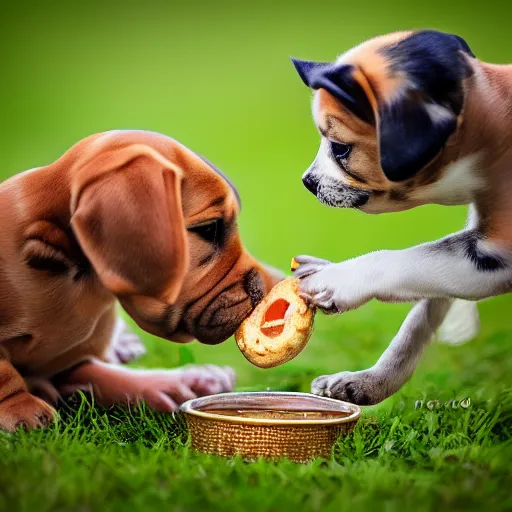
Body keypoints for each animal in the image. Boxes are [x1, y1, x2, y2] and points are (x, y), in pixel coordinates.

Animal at [0, 130, 280, 430]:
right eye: (209, 229)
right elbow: (5, 372)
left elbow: (94, 370)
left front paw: (174, 384)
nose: (269, 286)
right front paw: (21, 406)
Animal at [292, 30, 512, 406]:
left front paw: (335, 278)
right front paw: (370, 382)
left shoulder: (494, 253)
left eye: (340, 148)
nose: (307, 182)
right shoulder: (472, 244)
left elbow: (405, 260)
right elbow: (419, 318)